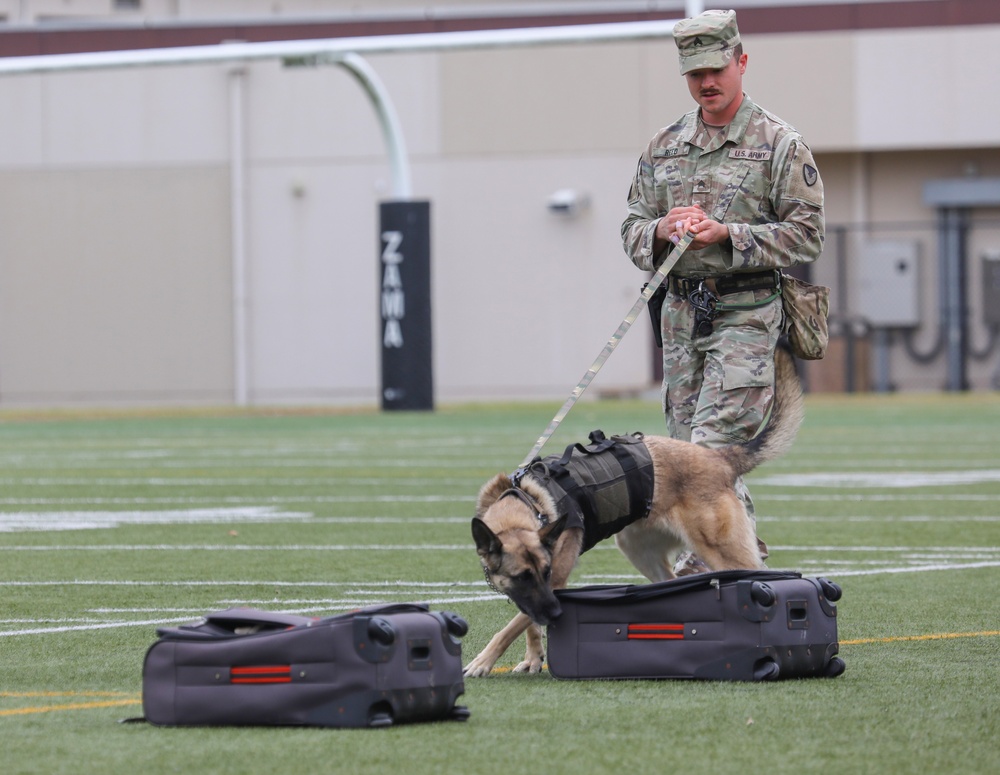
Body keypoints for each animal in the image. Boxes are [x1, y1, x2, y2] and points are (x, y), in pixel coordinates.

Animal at [466, 342, 804, 676]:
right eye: (523, 577)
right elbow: (527, 620)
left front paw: (483, 661)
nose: (557, 613)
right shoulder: (535, 590)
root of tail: (720, 458)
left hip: (720, 549)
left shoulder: (556, 582)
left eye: (546, 572)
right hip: (638, 549)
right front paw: (534, 657)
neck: (525, 502)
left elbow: (513, 624)